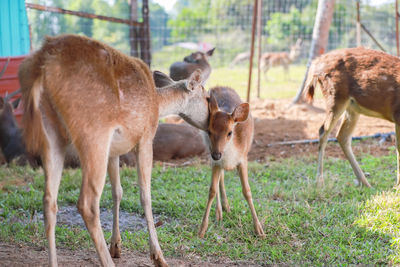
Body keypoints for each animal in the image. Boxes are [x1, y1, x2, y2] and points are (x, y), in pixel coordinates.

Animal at [18, 34, 209, 267]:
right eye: (207, 97)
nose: (211, 119)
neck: (157, 105)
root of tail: (43, 67)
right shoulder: (145, 137)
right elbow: (145, 195)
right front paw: (158, 256)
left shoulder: (114, 149)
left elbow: (117, 191)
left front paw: (117, 246)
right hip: (93, 134)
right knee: (87, 203)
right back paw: (107, 261)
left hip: (51, 137)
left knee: (48, 201)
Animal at [198, 87, 266, 240]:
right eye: (209, 131)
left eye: (229, 132)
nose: (216, 154)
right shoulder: (215, 162)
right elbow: (211, 190)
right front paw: (202, 230)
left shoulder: (243, 159)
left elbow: (247, 191)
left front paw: (259, 230)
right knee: (220, 180)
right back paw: (220, 212)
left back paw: (225, 208)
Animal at [302, 46, 400, 188]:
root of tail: (316, 64)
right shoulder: (397, 114)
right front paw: (397, 186)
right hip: (335, 96)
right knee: (323, 131)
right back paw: (320, 181)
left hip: (352, 107)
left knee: (342, 136)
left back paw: (364, 183)